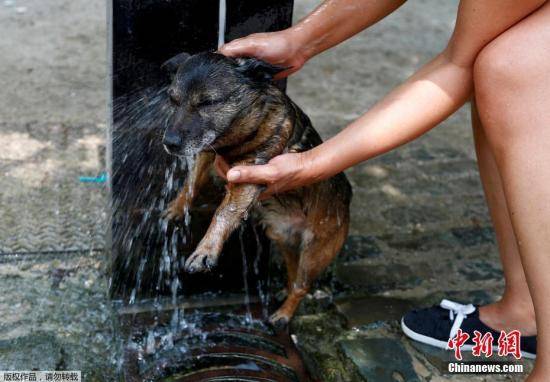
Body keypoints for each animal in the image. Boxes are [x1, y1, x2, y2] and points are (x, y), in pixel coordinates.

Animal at [164, 50, 354, 326]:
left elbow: (224, 212)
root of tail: (348, 201)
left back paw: (284, 314)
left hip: (316, 252)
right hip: (284, 240)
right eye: (173, 99)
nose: (169, 143)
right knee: (292, 275)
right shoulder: (207, 153)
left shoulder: (249, 173)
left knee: (302, 286)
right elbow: (191, 182)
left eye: (208, 103)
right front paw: (177, 207)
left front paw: (206, 250)